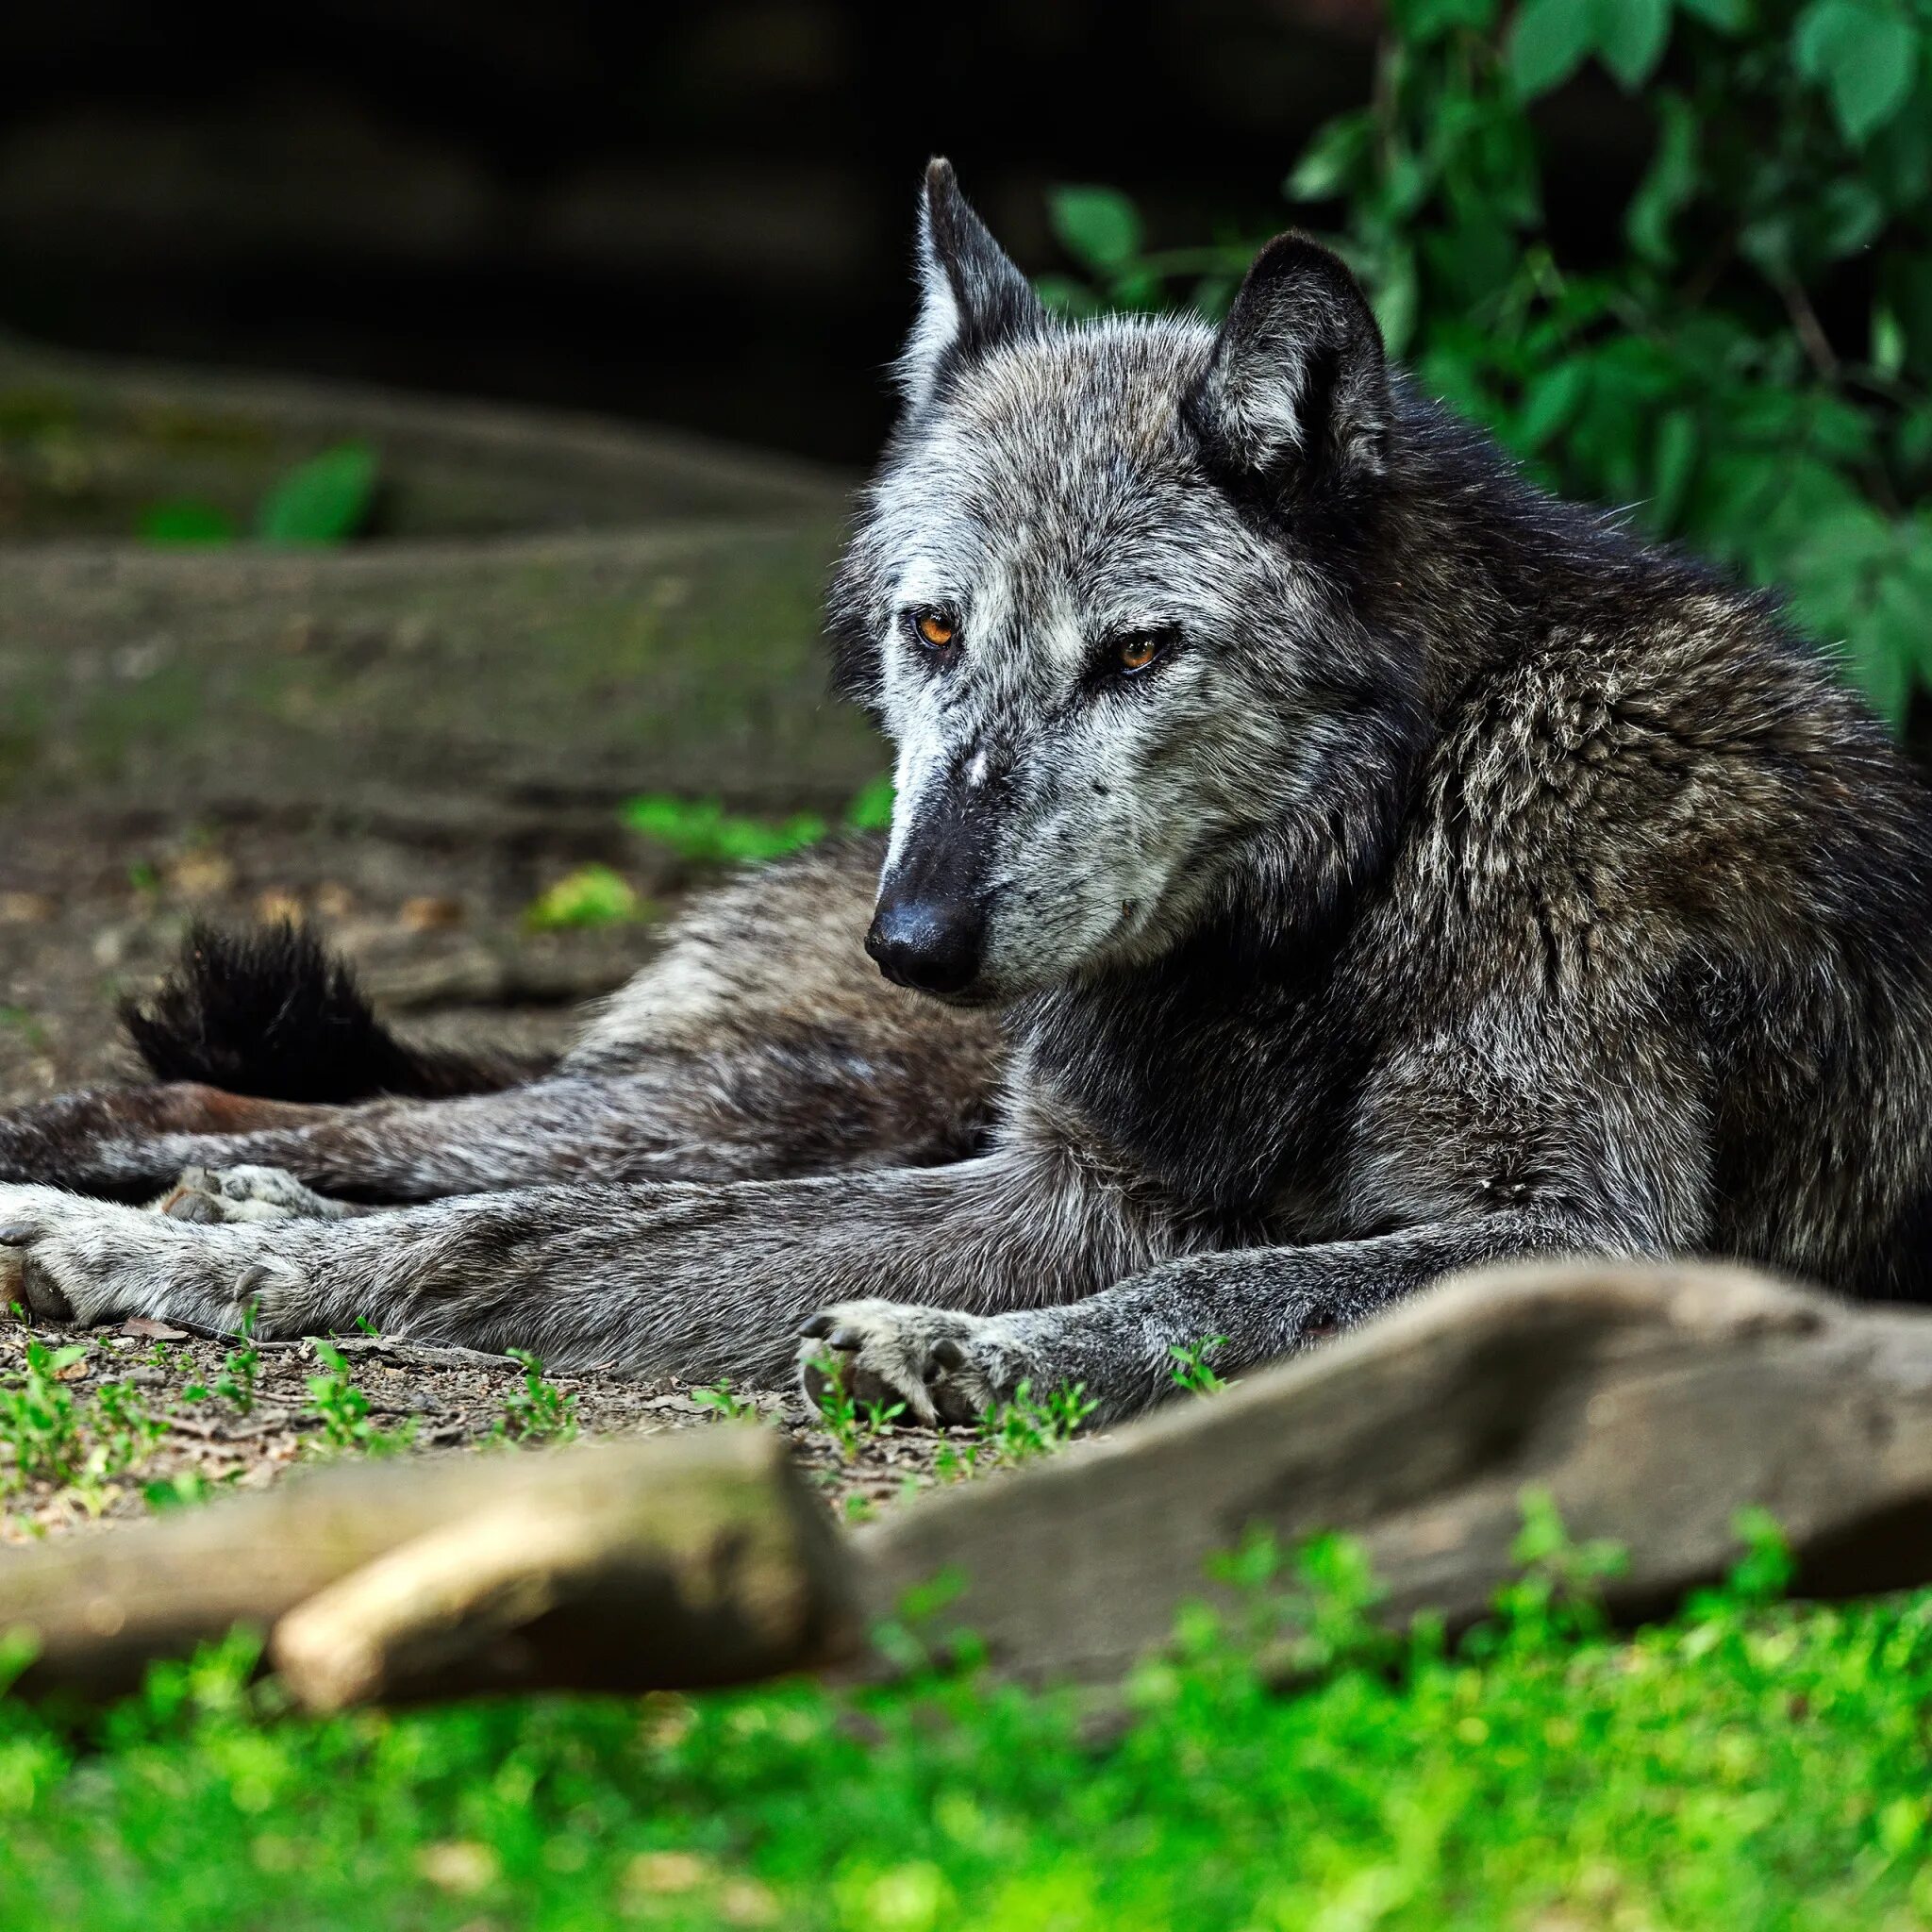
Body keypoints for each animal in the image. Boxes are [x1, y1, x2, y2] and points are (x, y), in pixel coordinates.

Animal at [4, 158, 1932, 1429]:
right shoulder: (1055, 1182)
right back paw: (138, 1186)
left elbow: (1220, 1284)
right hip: (806, 1090)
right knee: (384, 1123)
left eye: (1137, 653)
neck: (1383, 864)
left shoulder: (1570, 1234)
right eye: (934, 628)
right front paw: (210, 1271)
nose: (915, 939)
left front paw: (977, 1353)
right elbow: (527, 1231)